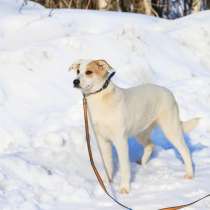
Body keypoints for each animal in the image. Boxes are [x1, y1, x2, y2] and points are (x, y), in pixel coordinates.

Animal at [69, 58, 199, 194]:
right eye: (77, 71)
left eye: (89, 72)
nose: (75, 81)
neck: (101, 97)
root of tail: (168, 92)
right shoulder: (103, 140)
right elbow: (107, 163)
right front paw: (106, 183)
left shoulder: (120, 141)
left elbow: (124, 167)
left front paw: (124, 188)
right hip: (140, 132)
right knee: (150, 145)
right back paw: (143, 162)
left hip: (171, 129)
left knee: (185, 150)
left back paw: (189, 174)